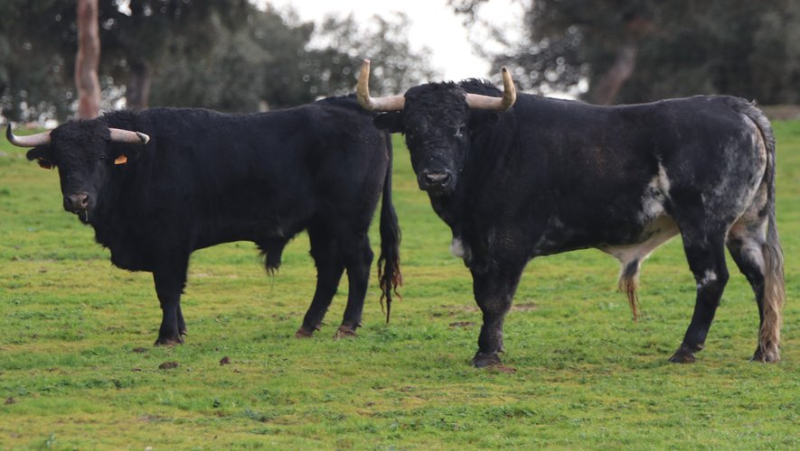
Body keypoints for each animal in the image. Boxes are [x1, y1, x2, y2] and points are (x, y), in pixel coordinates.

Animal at [7, 97, 400, 346]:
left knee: (359, 264)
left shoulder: (170, 242)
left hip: (349, 220)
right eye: (62, 160)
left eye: (102, 157)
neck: (142, 162)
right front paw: (180, 330)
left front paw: (167, 336)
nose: (78, 199)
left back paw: (347, 326)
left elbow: (167, 288)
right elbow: (172, 291)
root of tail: (353, 108)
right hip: (322, 225)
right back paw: (308, 325)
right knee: (329, 269)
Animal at [360, 59, 784, 368]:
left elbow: (497, 299)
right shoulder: (478, 248)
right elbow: (483, 296)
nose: (436, 177)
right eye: (411, 130)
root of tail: (733, 105)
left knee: (712, 278)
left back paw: (686, 349)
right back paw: (764, 350)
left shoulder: (509, 242)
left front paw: (487, 353)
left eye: (461, 128)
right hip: (746, 226)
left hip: (704, 225)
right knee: (761, 278)